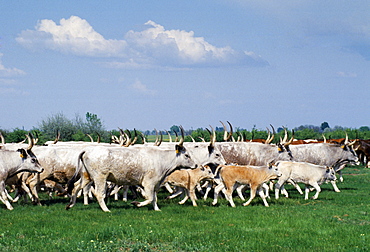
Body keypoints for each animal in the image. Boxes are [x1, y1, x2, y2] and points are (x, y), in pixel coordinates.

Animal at [66, 139, 197, 212]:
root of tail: (87, 150)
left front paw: (157, 209)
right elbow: (150, 198)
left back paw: (70, 205)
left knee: (76, 187)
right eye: (186, 155)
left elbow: (154, 198)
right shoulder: (148, 183)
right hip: (100, 178)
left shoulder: (156, 183)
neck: (161, 159)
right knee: (99, 194)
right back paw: (106, 210)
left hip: (86, 176)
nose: (196, 165)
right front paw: (136, 203)